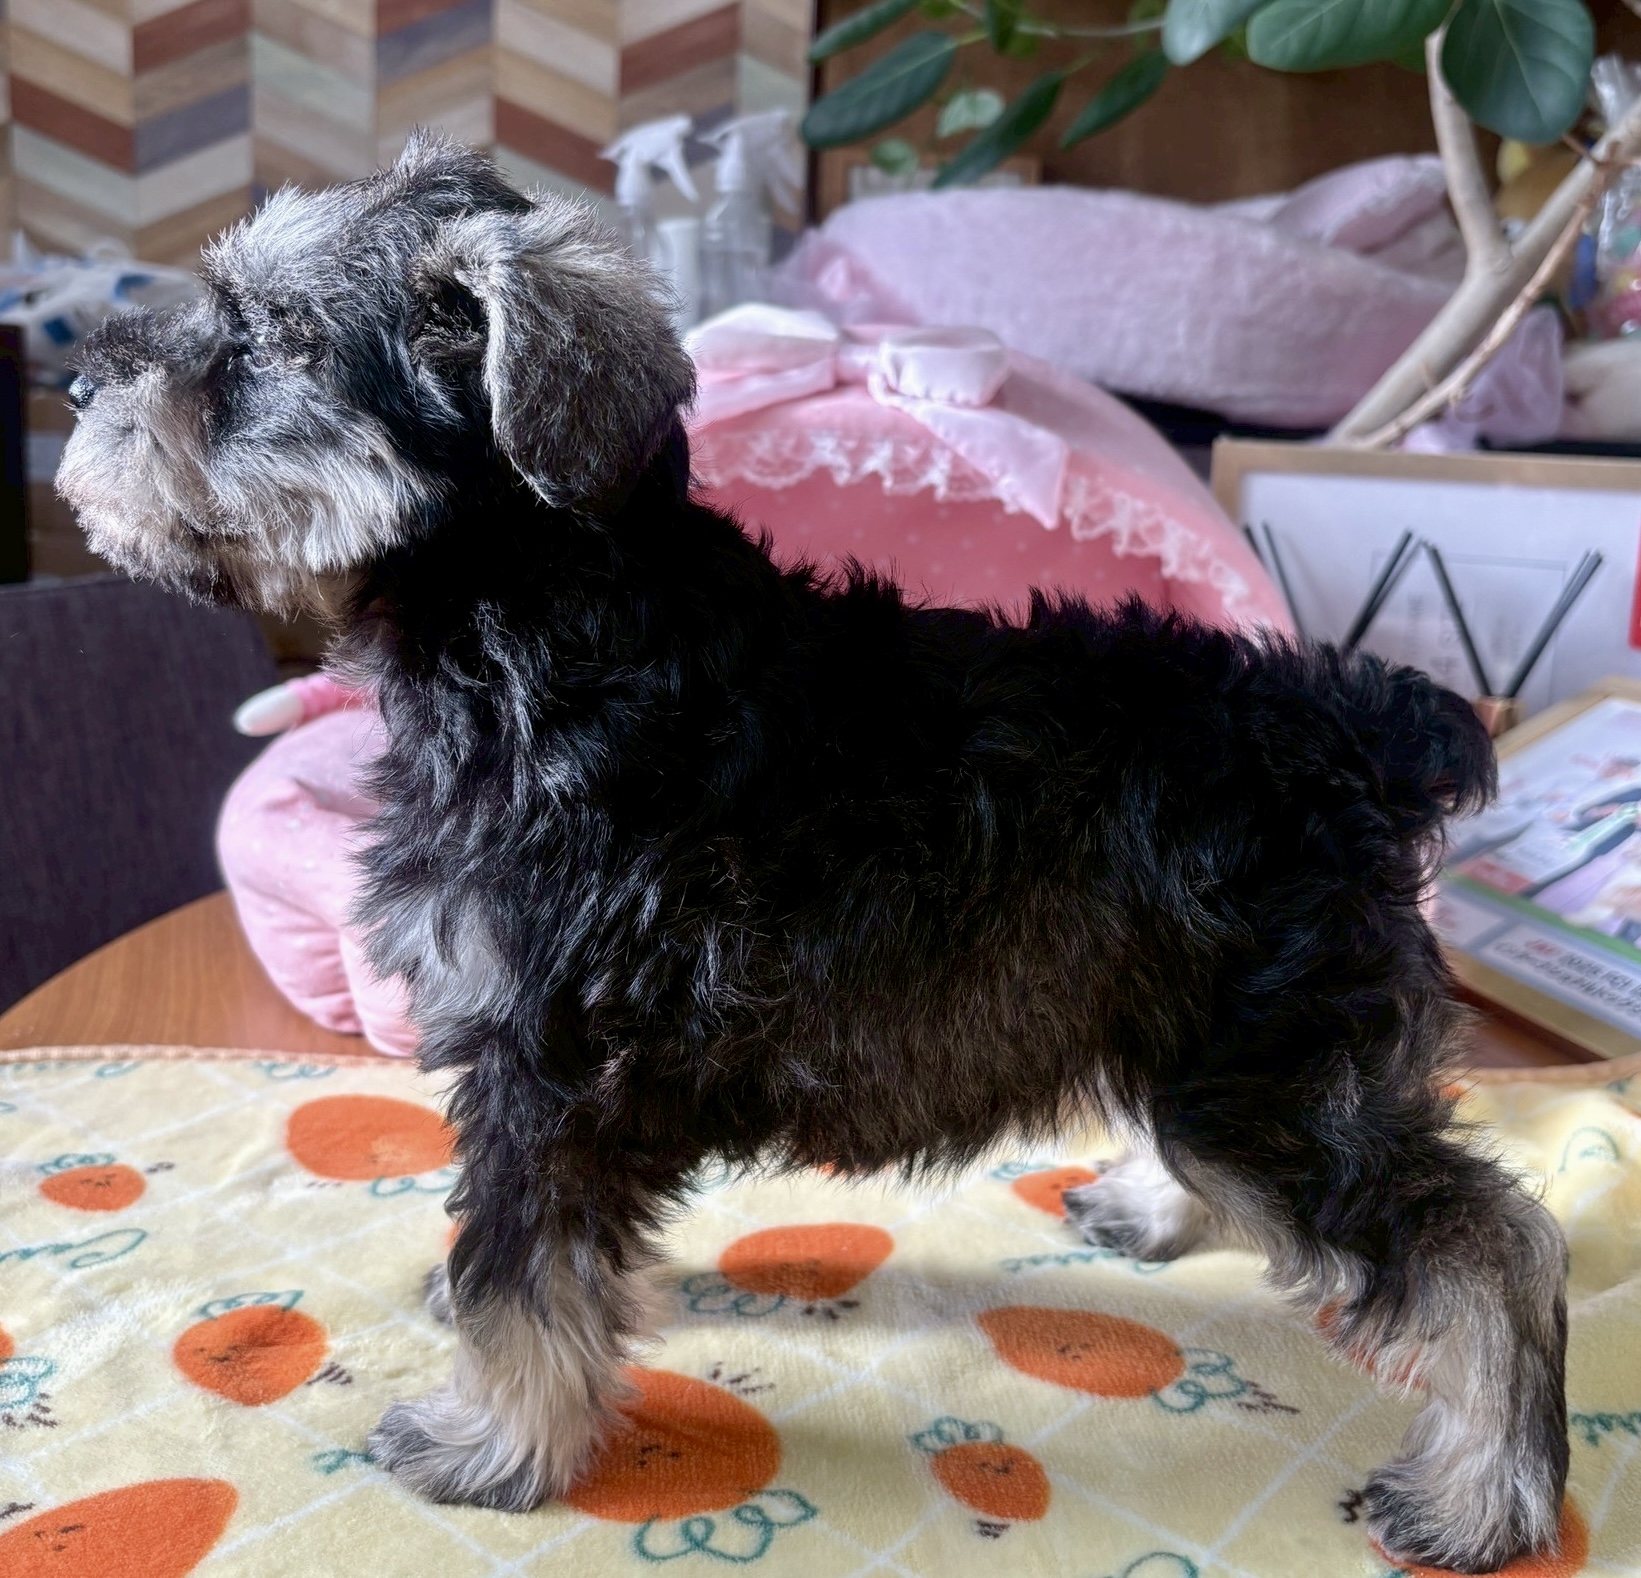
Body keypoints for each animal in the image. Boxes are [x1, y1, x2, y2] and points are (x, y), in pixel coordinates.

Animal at [57, 133, 1567, 1573]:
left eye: (264, 340)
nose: (77, 383)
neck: (531, 630)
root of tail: (1360, 723)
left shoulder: (541, 1066)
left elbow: (518, 1270)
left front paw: (490, 1441)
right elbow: (539, 1252)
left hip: (1271, 1065)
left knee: (1487, 1242)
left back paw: (1482, 1499)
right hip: (1222, 1046)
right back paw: (1153, 1208)